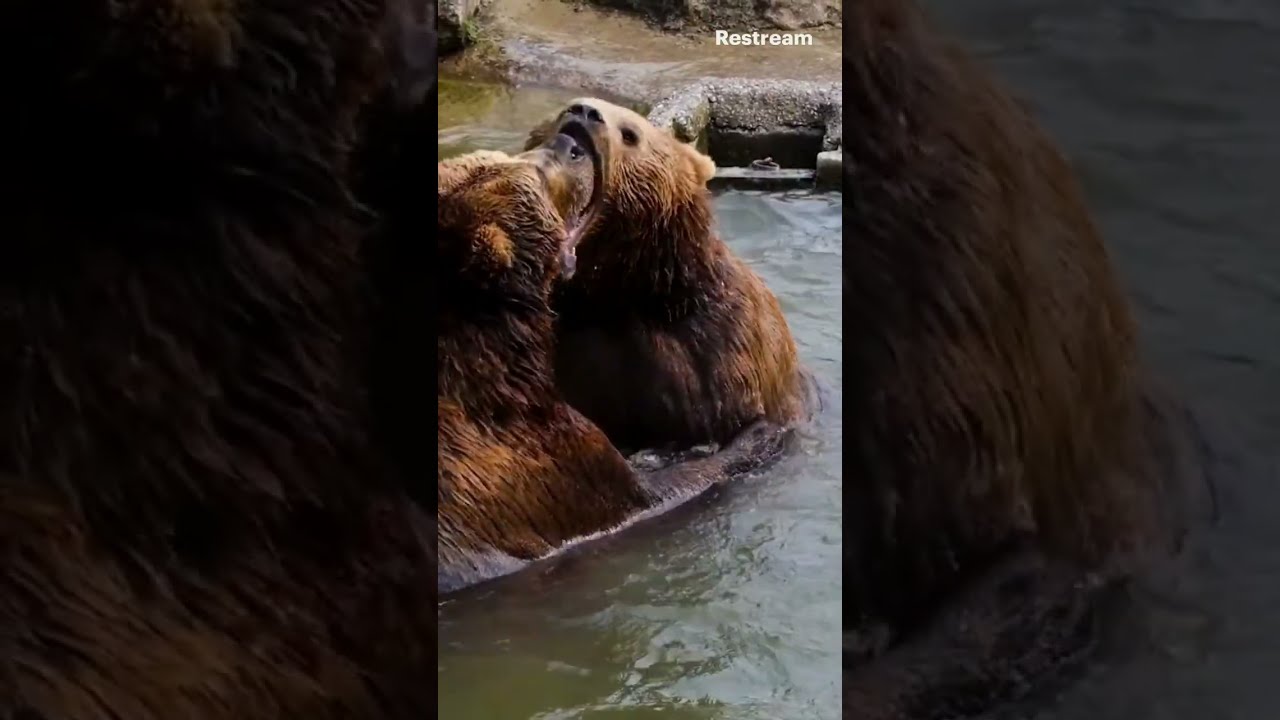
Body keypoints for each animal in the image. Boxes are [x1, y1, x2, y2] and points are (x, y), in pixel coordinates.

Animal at [437, 133, 789, 593]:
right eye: (536, 171)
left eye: (516, 158)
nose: (568, 140)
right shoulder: (545, 470)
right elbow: (653, 492)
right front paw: (755, 435)